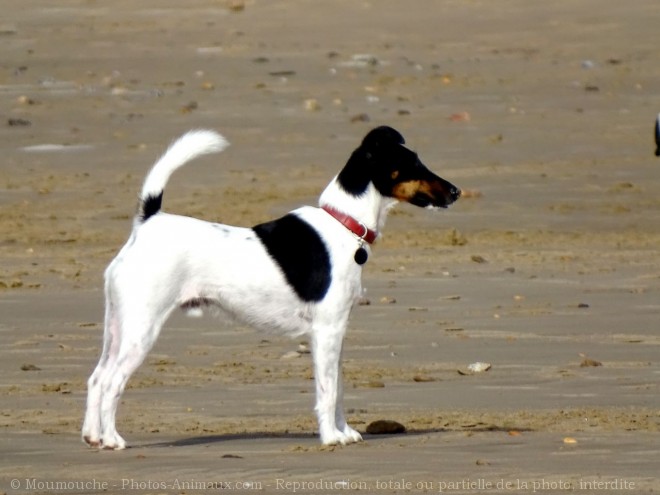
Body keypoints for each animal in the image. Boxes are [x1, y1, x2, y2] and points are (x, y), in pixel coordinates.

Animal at [82, 127, 462, 450]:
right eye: (413, 164)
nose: (457, 192)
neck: (343, 224)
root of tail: (148, 224)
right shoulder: (327, 331)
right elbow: (327, 391)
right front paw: (330, 438)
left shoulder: (336, 333)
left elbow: (338, 388)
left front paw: (345, 432)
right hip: (141, 329)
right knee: (113, 382)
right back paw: (113, 439)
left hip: (117, 327)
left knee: (97, 378)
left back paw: (92, 437)